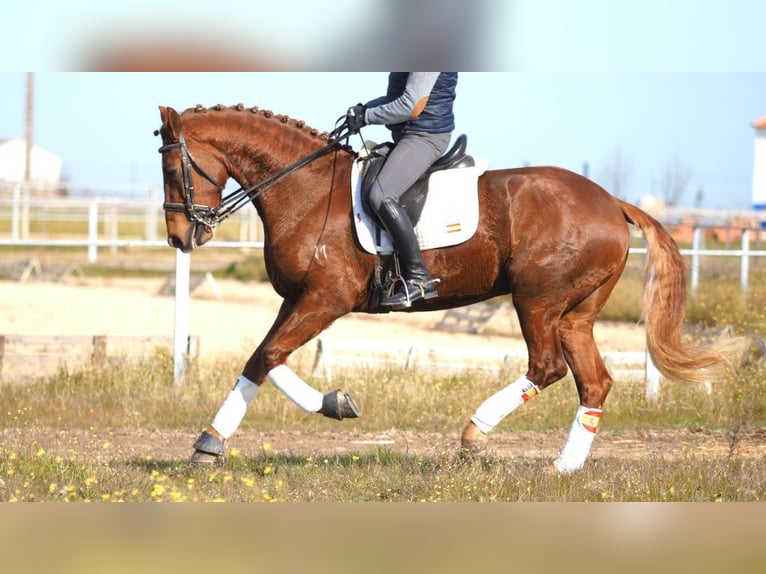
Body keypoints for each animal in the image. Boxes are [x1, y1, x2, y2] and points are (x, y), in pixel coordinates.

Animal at [158, 102, 744, 472]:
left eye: (172, 167)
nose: (180, 237)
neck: (304, 189)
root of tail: (611, 201)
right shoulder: (297, 300)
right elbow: (262, 358)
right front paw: (213, 440)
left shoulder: (324, 299)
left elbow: (269, 356)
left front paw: (333, 403)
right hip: (575, 312)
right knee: (593, 382)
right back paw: (564, 467)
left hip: (538, 300)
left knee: (547, 368)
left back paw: (474, 434)